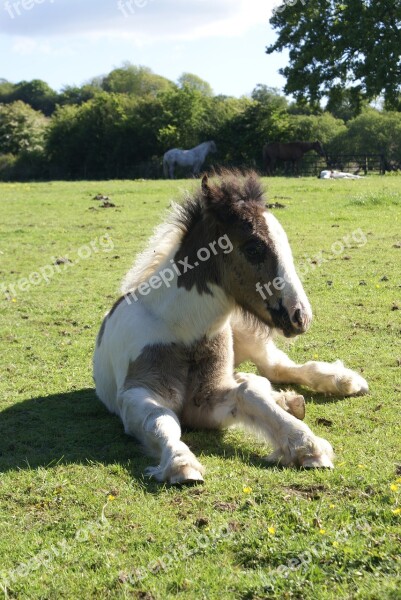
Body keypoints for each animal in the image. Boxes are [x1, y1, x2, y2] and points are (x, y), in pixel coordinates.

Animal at [92, 171, 368, 486]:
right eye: (254, 248)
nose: (300, 315)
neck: (182, 330)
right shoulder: (138, 393)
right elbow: (161, 421)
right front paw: (181, 463)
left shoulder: (206, 402)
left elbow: (249, 395)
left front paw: (307, 445)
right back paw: (286, 398)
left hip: (247, 334)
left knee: (275, 368)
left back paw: (343, 381)